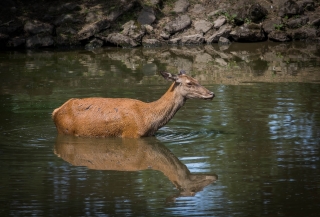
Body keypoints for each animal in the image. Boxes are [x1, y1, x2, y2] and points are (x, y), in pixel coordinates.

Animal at [52, 71, 215, 139]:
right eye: (189, 83)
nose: (211, 93)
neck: (149, 119)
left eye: (196, 79)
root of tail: (56, 111)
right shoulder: (131, 134)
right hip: (65, 130)